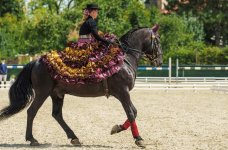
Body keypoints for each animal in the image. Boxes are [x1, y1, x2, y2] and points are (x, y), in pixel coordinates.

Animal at [0, 25, 162, 148]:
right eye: (158, 41)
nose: (159, 62)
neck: (124, 59)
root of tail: (37, 61)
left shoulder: (122, 94)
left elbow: (134, 112)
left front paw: (116, 129)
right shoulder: (123, 92)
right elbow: (131, 113)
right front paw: (138, 139)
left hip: (56, 94)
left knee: (57, 114)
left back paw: (74, 138)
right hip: (42, 93)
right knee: (32, 111)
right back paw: (32, 139)